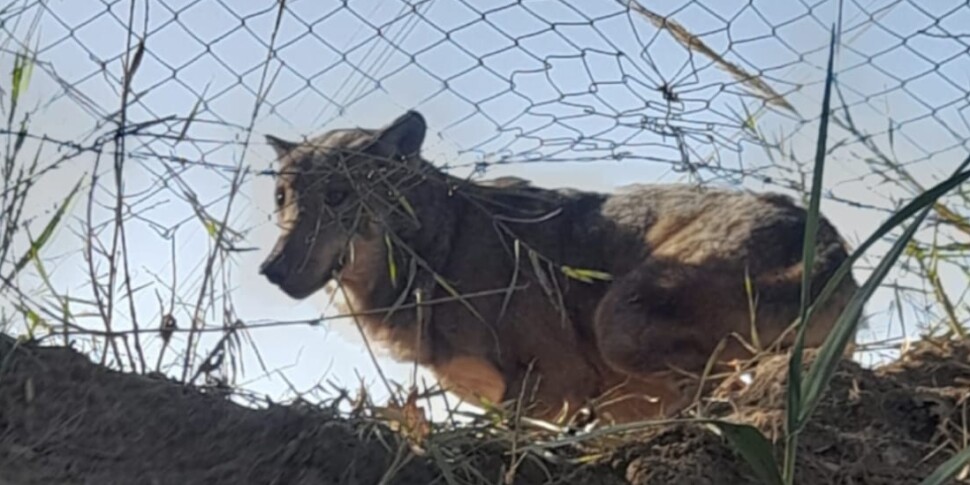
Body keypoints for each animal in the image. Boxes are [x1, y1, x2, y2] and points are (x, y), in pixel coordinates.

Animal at [259, 110, 860, 424]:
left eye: (338, 196)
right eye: (282, 198)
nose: (270, 270)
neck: (439, 249)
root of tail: (832, 249)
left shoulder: (555, 390)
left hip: (617, 321)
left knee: (707, 384)